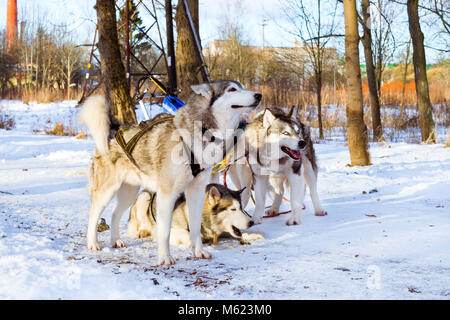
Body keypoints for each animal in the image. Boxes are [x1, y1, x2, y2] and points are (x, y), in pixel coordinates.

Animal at [127, 182, 264, 245]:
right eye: (233, 209)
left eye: (241, 208)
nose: (251, 222)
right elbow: (188, 234)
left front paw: (251, 235)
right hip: (144, 198)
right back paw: (142, 231)